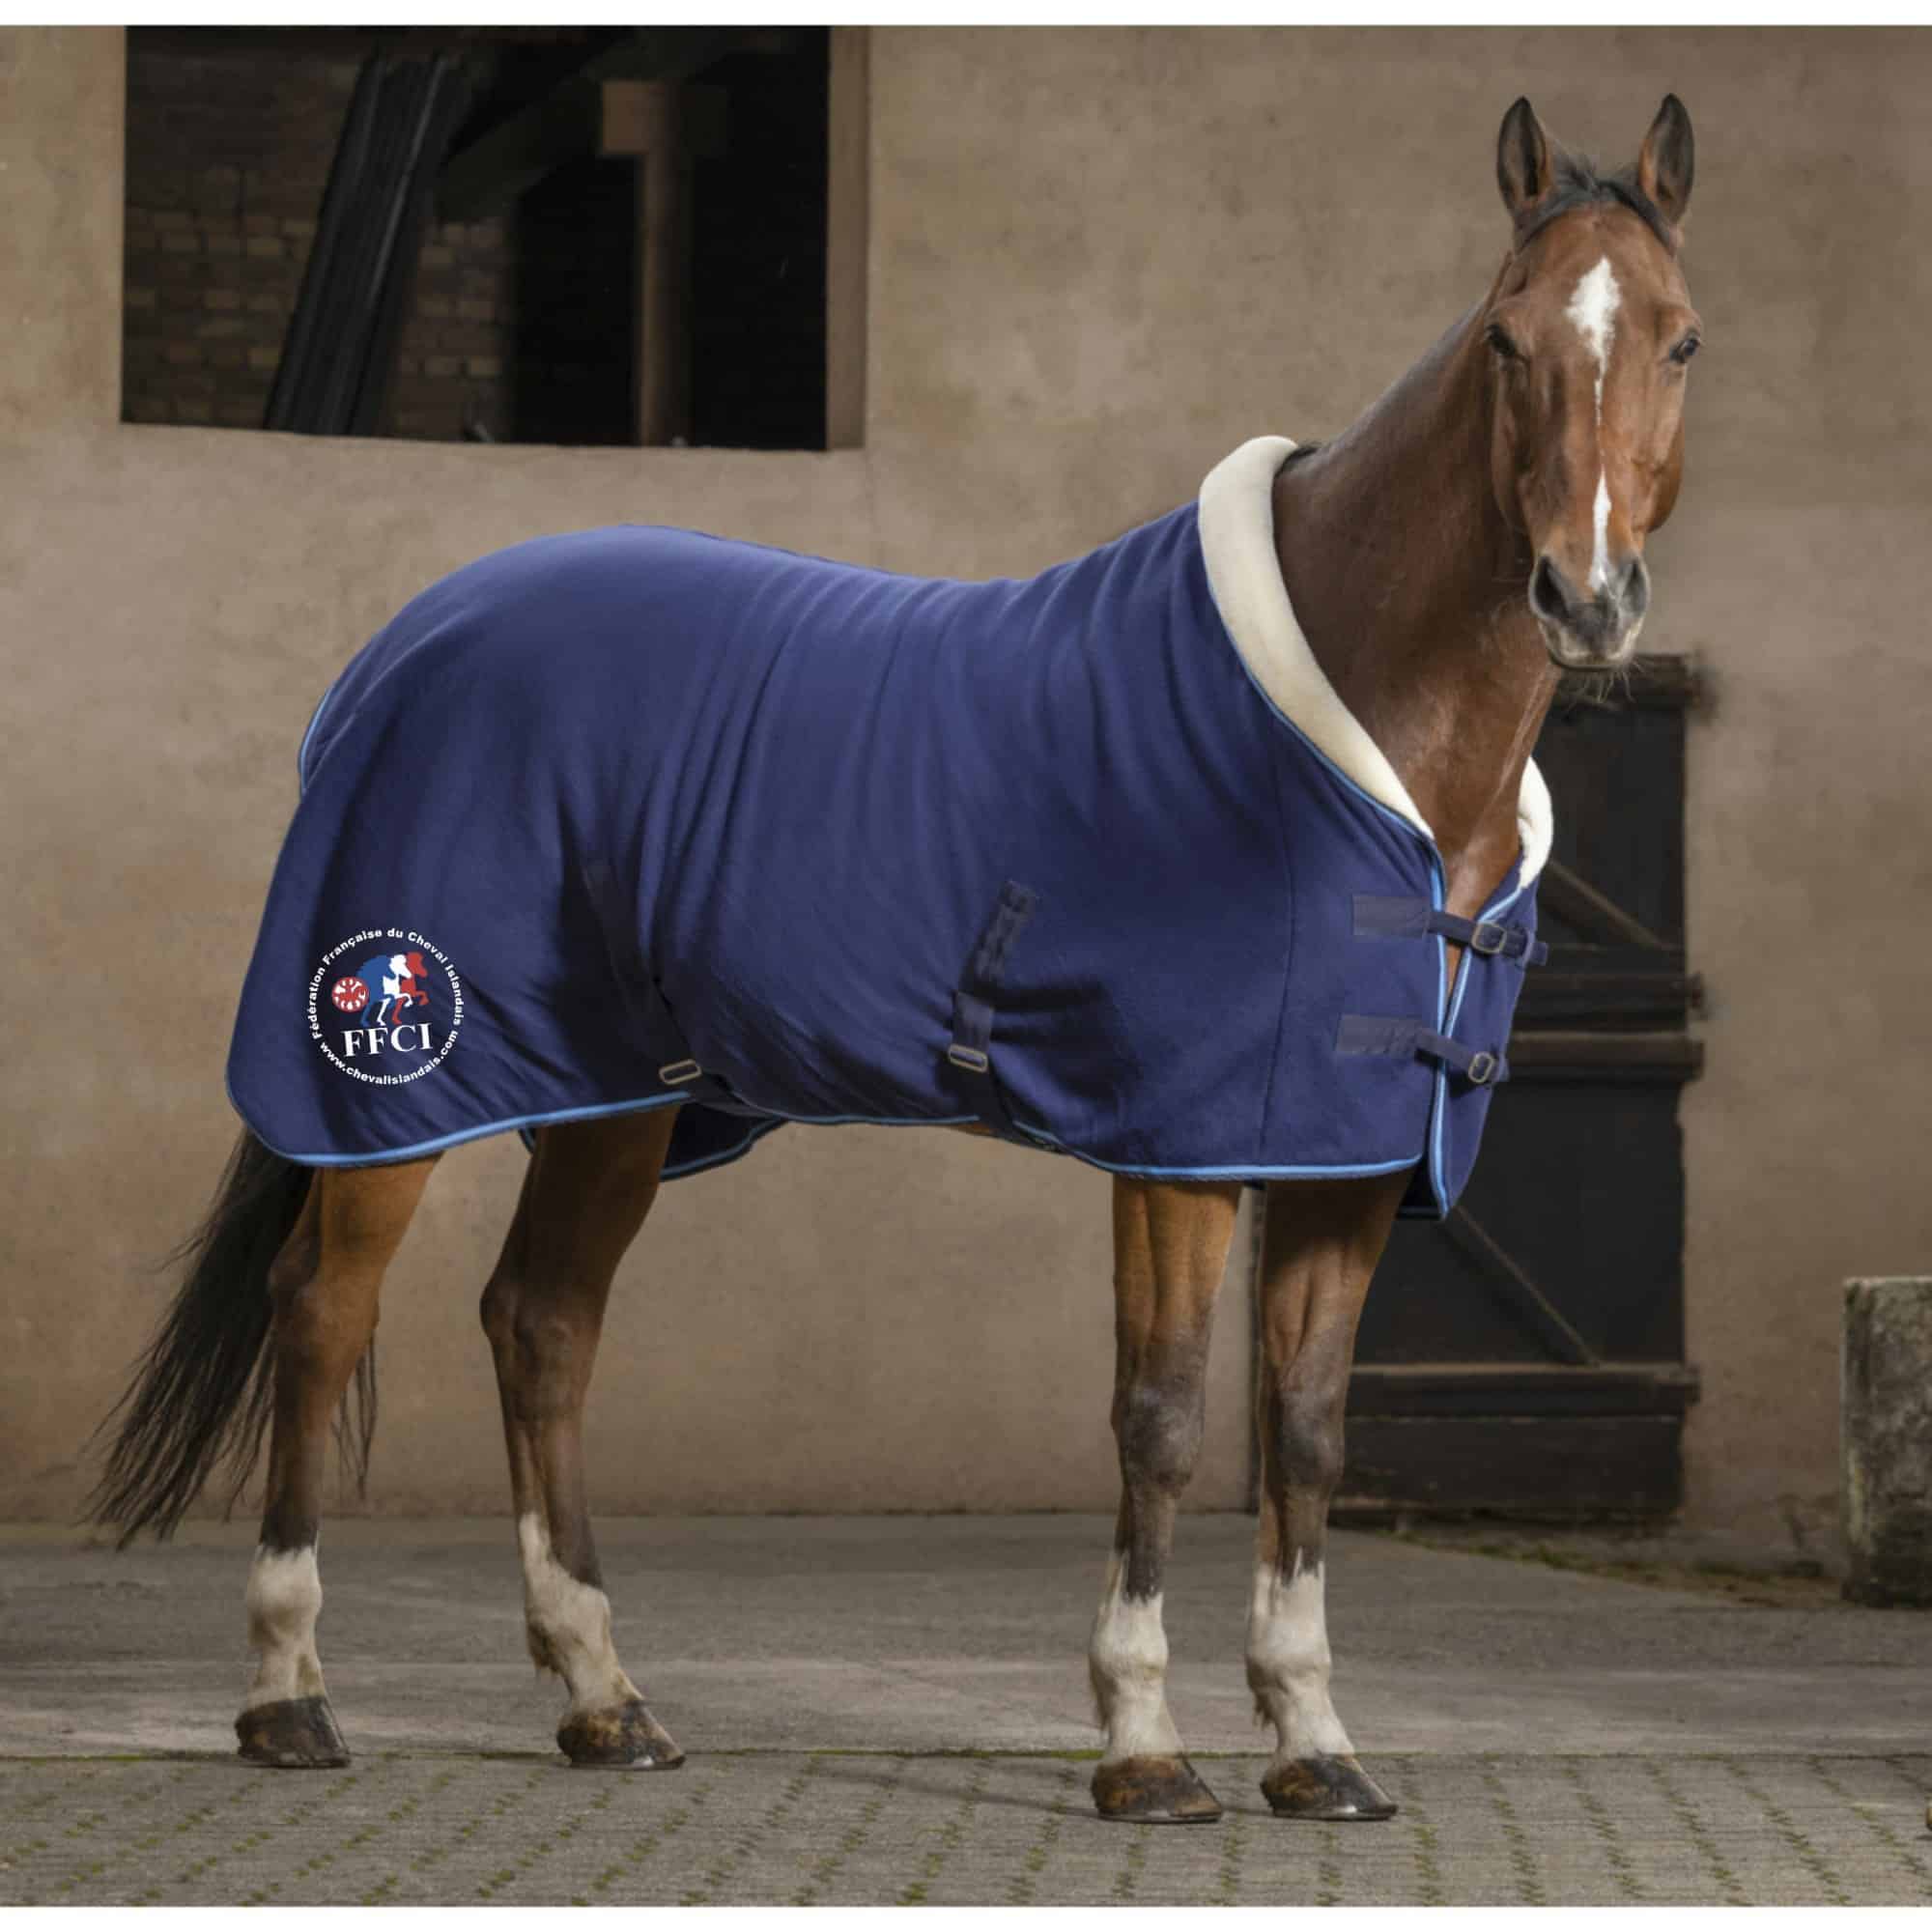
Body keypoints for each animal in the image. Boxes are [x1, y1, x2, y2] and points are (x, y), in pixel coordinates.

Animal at [89, 94, 1699, 1825]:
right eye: (1508, 338)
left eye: (1681, 339)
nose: (1587, 597)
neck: (1357, 731)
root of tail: (394, 655)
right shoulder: (1182, 1149)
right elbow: (1163, 1416)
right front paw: (1144, 1745)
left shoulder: (1346, 1160)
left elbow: (1310, 1431)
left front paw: (1315, 1745)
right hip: (402, 1071)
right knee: (323, 1311)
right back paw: (288, 1695)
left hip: (615, 1092)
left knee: (542, 1325)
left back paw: (605, 1702)